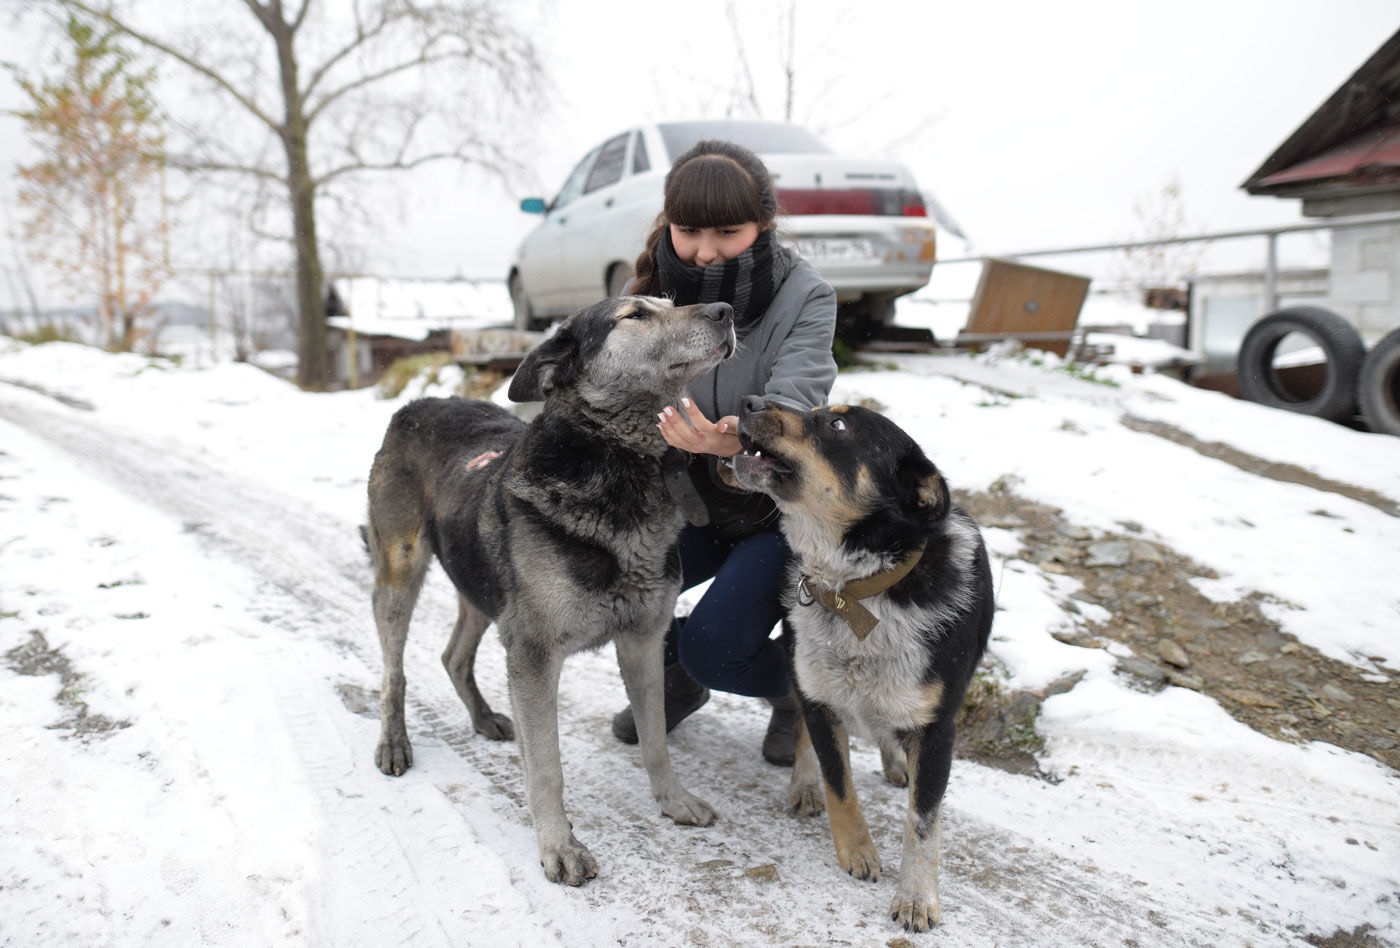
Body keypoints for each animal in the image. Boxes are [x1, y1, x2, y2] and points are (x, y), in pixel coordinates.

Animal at [364, 294, 733, 879]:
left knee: (453, 655)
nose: (726, 310)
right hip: (400, 577)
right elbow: (546, 767)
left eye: (672, 303)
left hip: (481, 585)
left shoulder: (643, 641)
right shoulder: (534, 655)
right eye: (636, 315)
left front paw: (672, 801)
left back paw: (484, 717)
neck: (618, 462)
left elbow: (655, 739)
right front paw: (559, 847)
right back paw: (394, 743)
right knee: (393, 672)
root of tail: (415, 405)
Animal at [722, 394, 996, 929]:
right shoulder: (819, 696)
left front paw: (916, 898)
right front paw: (858, 852)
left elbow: (923, 823)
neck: (858, 590)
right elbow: (839, 783)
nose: (750, 401)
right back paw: (806, 782)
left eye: (838, 425)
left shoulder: (938, 729)